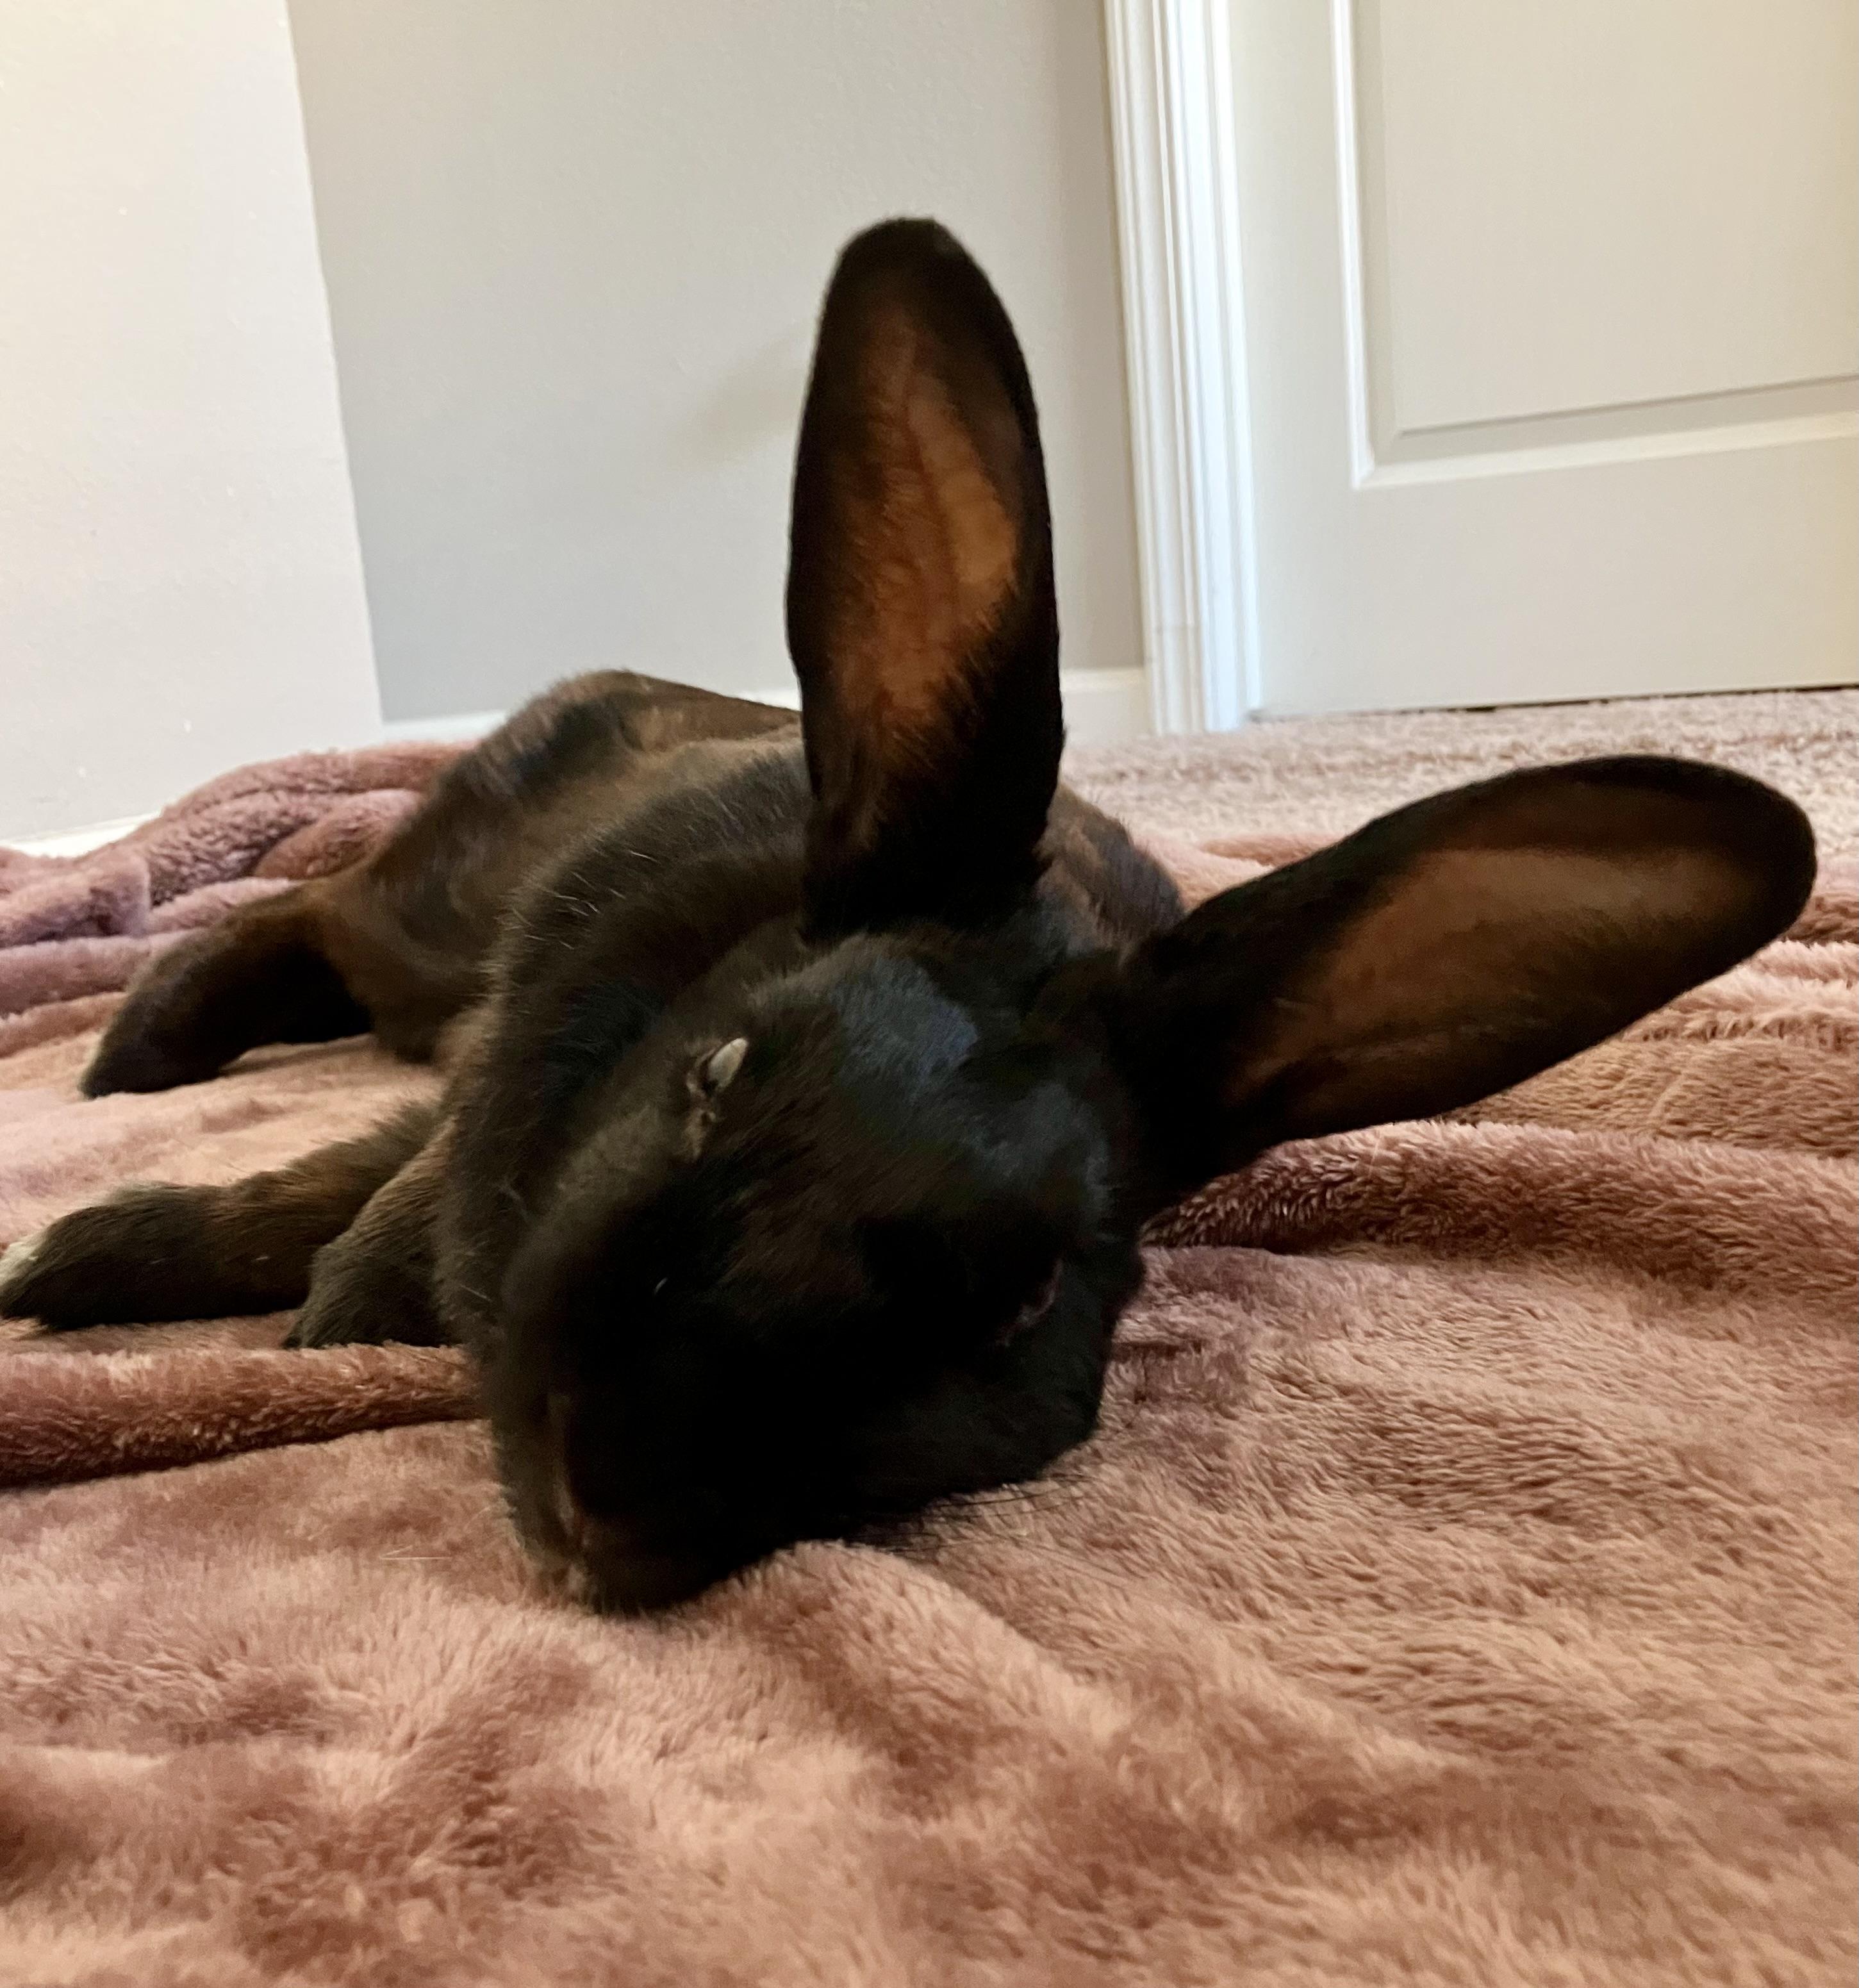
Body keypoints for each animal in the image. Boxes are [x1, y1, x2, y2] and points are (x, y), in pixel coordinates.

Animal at [0, 219, 1816, 1613]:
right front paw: (123, 1268)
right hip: (437, 925)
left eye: (1018, 1306)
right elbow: (361, 1186)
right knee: (304, 896)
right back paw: (135, 1055)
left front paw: (215, 1285)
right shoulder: (499, 1064)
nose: (607, 1502)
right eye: (718, 1078)